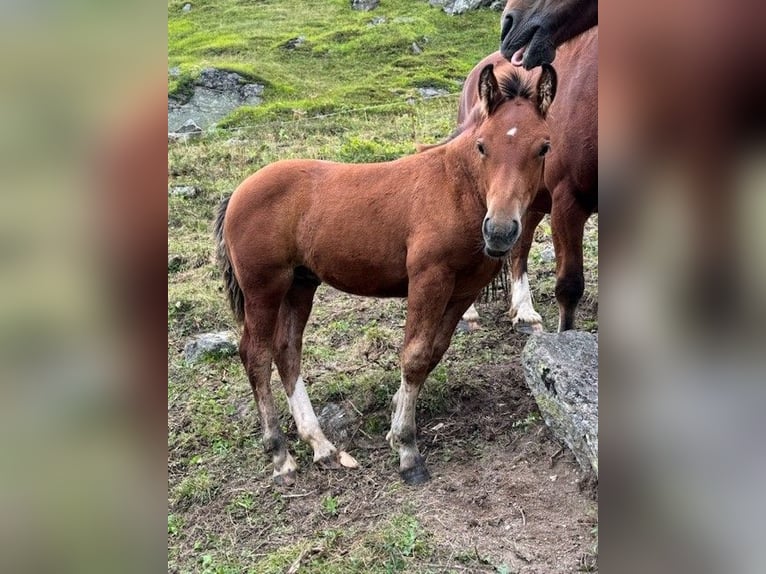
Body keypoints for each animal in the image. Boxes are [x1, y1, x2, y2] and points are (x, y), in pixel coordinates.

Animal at [216, 63, 560, 486]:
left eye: (543, 147)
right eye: (483, 146)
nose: (498, 232)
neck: (457, 189)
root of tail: (237, 192)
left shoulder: (463, 291)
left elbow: (433, 353)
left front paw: (396, 424)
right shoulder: (428, 279)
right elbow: (414, 356)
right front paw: (408, 451)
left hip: (300, 285)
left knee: (287, 352)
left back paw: (322, 447)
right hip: (263, 289)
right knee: (257, 356)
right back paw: (281, 455)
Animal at [462, 27, 600, 332]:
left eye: (544, 148)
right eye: (481, 146)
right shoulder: (567, 204)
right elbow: (569, 286)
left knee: (520, 245)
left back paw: (524, 309)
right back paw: (470, 311)